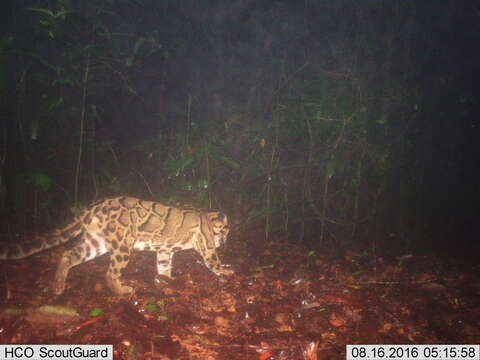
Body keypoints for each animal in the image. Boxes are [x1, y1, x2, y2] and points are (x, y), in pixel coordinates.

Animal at [0, 197, 232, 296]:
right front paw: (227, 272)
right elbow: (214, 262)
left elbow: (164, 266)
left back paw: (58, 286)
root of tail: (95, 205)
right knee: (110, 273)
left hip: (96, 242)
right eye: (227, 231)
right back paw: (122, 290)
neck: (208, 218)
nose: (226, 241)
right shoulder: (207, 247)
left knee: (68, 254)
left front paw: (167, 280)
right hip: (122, 245)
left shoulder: (164, 250)